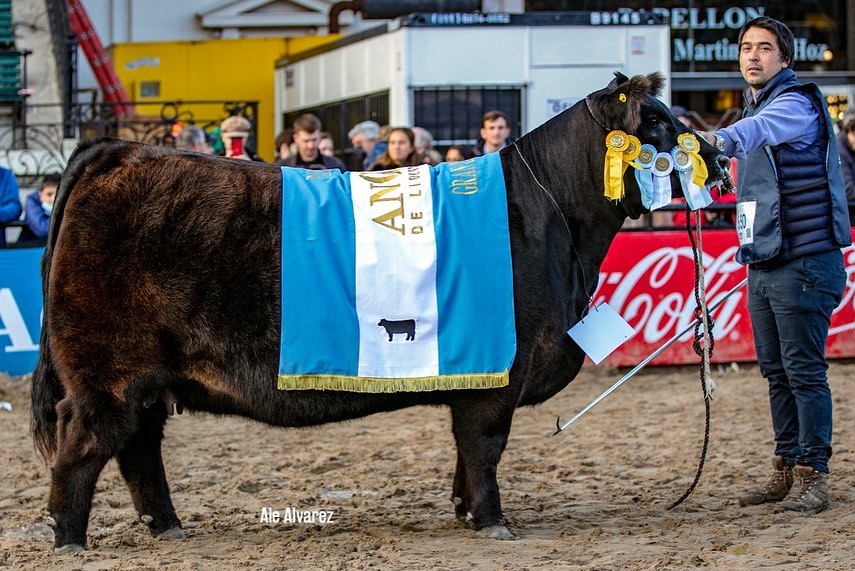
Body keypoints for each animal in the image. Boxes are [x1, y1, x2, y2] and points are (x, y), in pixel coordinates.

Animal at [31, 72, 731, 553]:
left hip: (147, 381)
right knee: (83, 444)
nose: (721, 156)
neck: (554, 222)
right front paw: (494, 522)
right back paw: (69, 538)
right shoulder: (500, 370)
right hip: (108, 373)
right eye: (658, 122)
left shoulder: (474, 373)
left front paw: (465, 511)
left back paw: (166, 527)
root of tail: (121, 152)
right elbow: (486, 446)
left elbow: (466, 451)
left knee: (138, 449)